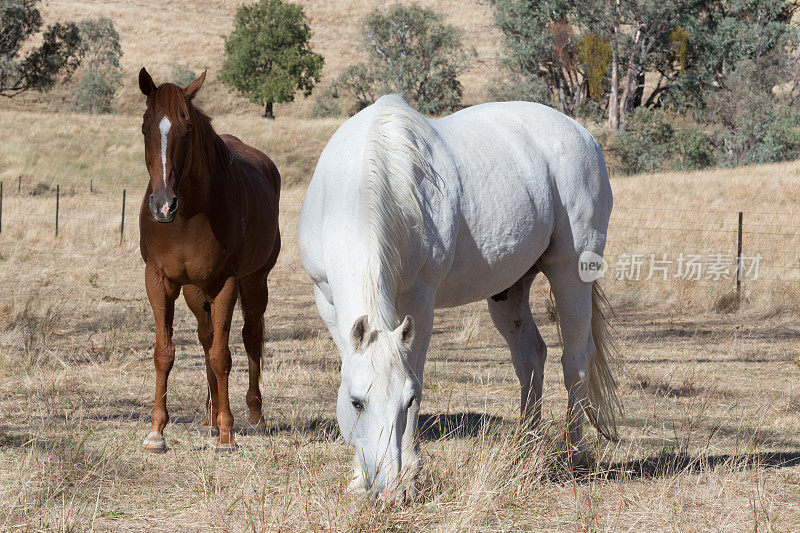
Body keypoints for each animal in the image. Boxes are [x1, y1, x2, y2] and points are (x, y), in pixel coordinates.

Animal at [135, 64, 278, 450]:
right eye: (145, 126)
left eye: (187, 130)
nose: (163, 205)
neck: (186, 219)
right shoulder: (159, 280)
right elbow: (165, 352)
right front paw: (156, 431)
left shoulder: (226, 282)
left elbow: (222, 355)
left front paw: (227, 434)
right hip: (195, 292)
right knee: (205, 336)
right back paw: (208, 418)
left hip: (254, 281)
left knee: (249, 337)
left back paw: (254, 416)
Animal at [296, 94, 620, 498]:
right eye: (356, 403)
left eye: (408, 401)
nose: (387, 487)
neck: (357, 188)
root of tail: (583, 135)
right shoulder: (326, 300)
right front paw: (358, 478)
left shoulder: (420, 299)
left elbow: (416, 373)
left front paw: (410, 474)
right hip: (509, 290)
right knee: (531, 356)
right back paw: (523, 448)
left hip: (572, 273)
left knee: (575, 359)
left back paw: (574, 455)